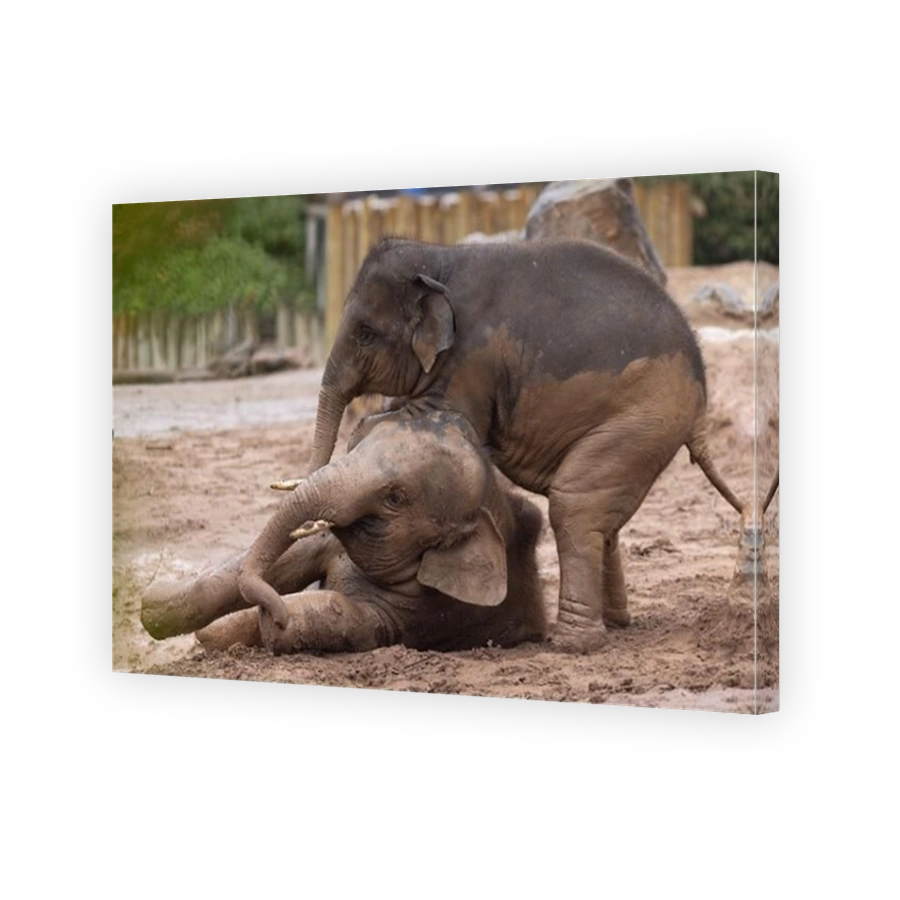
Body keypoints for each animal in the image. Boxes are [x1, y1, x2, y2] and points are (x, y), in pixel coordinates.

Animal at [141, 410, 547, 653]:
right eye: (356, 444)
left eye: (395, 497)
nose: (273, 607)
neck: (492, 501)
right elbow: (290, 558)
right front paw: (152, 607)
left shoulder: (418, 614)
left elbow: (343, 615)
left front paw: (275, 619)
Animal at [305, 237, 745, 650]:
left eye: (365, 334)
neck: (441, 259)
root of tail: (701, 402)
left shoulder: (472, 359)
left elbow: (444, 417)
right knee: (605, 516)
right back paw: (617, 623)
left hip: (644, 421)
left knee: (575, 505)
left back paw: (572, 644)